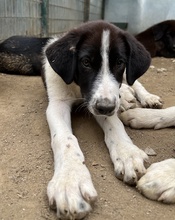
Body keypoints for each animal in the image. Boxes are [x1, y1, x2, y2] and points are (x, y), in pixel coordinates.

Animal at [43, 20, 151, 218]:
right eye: (86, 62)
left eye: (119, 62)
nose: (106, 108)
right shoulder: (57, 104)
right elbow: (65, 139)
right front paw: (69, 180)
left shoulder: (106, 101)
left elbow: (115, 124)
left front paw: (127, 152)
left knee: (134, 83)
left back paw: (144, 97)